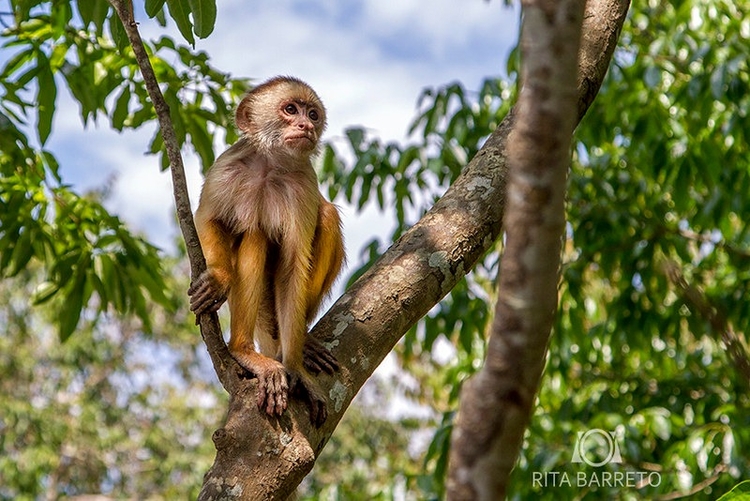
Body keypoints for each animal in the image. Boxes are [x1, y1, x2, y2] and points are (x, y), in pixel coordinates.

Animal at [191, 75, 350, 426]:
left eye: (312, 114)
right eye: (290, 109)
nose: (306, 125)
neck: (269, 164)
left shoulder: (303, 183)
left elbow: (292, 268)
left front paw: (296, 368)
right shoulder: (227, 165)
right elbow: (207, 219)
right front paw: (219, 278)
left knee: (326, 215)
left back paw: (301, 341)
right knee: (255, 233)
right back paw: (242, 350)